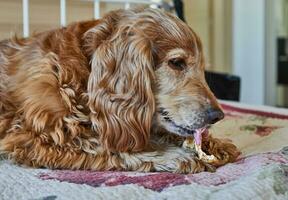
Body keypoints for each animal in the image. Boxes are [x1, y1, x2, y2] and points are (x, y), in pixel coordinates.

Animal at [0, 8, 238, 173]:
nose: (217, 116)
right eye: (177, 63)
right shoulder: (35, 135)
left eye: (202, 68)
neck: (85, 72)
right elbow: (108, 145)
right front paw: (173, 155)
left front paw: (212, 144)